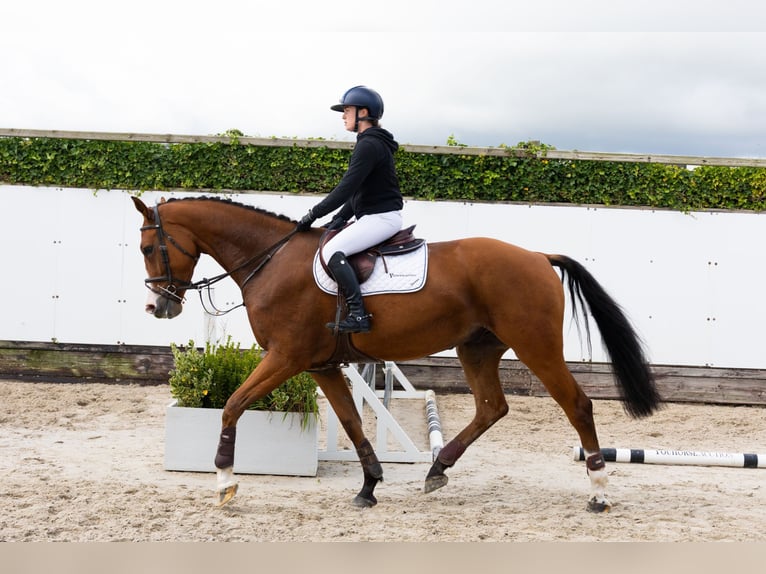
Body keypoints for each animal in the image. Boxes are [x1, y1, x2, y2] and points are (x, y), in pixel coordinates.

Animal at [132, 195, 661, 512]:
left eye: (147, 248)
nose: (158, 306)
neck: (271, 259)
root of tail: (536, 256)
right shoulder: (321, 365)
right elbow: (351, 423)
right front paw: (368, 487)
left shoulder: (285, 357)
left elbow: (233, 405)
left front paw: (224, 481)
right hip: (477, 347)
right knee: (492, 407)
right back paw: (436, 469)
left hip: (536, 345)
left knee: (577, 405)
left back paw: (598, 492)